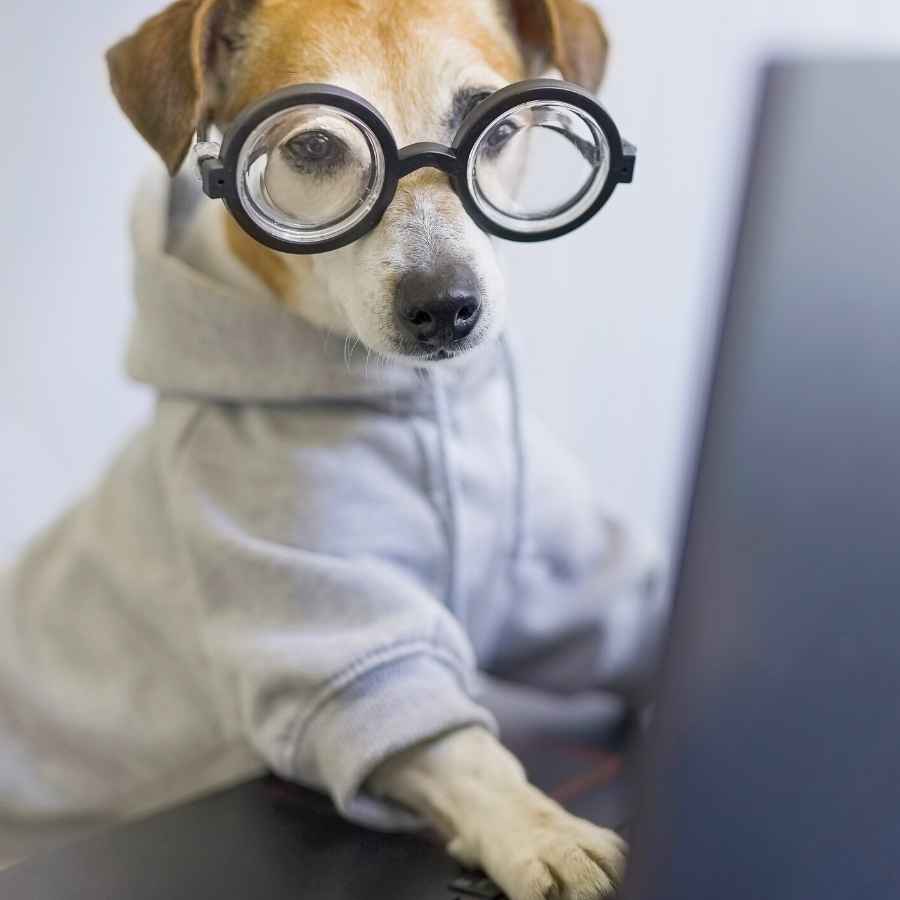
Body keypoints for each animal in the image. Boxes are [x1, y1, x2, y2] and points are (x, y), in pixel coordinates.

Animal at [0, 3, 664, 896]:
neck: (421, 403)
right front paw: (544, 831)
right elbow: (462, 751)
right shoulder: (332, 653)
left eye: (497, 128)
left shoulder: (571, 578)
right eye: (314, 146)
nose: (445, 305)